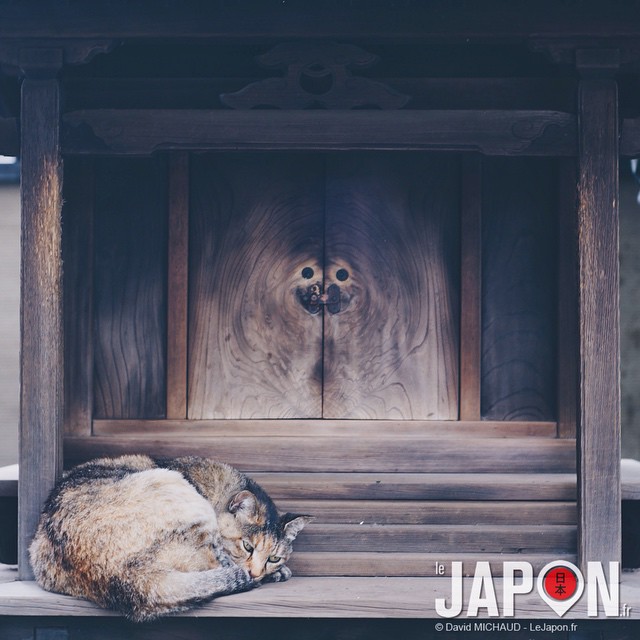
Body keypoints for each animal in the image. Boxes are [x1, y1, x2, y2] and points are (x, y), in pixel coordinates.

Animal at [29, 452, 310, 624]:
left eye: (273, 557)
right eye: (247, 546)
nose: (257, 571)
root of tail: (124, 577)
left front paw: (276, 570)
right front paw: (273, 573)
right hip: (174, 487)